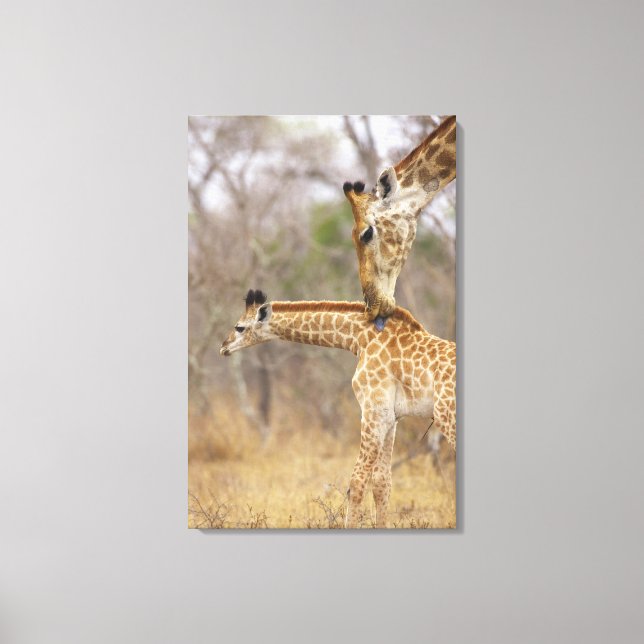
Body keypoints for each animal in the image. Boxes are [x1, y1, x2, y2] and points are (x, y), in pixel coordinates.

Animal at [220, 289, 456, 528]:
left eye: (239, 327)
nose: (223, 346)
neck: (360, 338)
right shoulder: (391, 417)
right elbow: (382, 482)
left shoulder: (372, 409)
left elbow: (357, 482)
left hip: (446, 416)